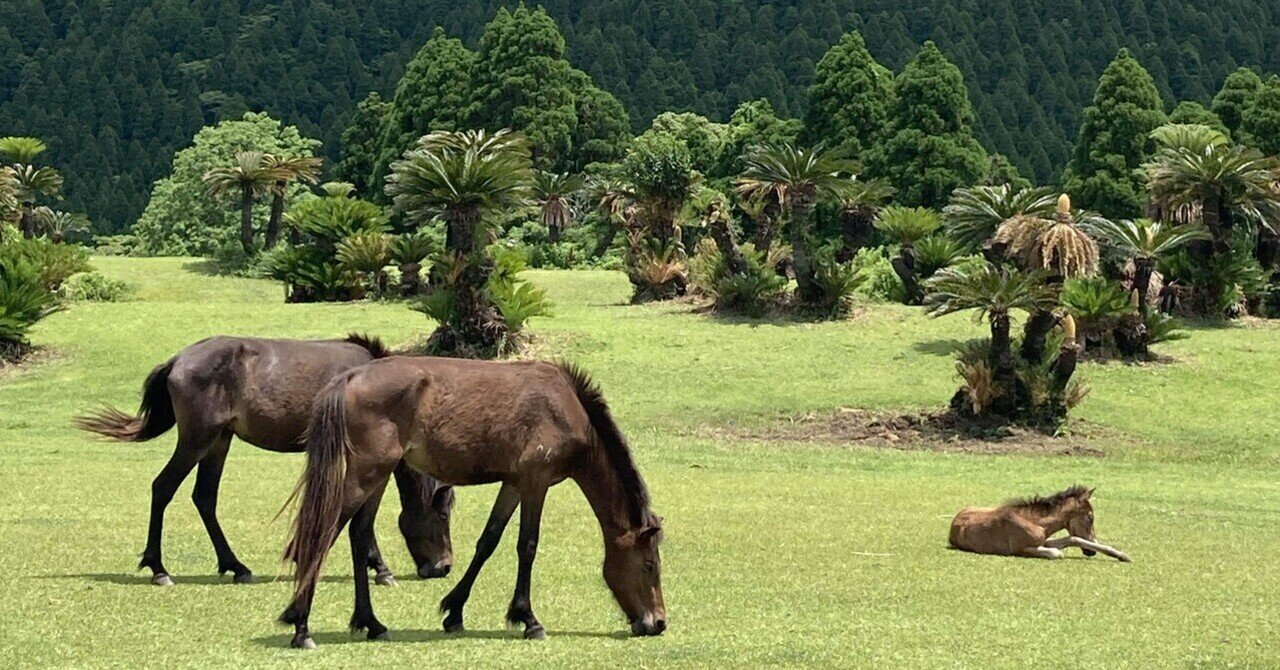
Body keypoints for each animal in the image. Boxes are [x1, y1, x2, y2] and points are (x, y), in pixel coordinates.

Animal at [73, 334, 456, 587]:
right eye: (443, 514)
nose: (444, 567)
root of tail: (177, 360)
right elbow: (361, 514)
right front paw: (381, 569)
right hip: (197, 440)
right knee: (163, 488)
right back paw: (159, 569)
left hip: (219, 441)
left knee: (204, 497)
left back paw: (236, 566)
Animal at [278, 357, 666, 649]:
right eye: (650, 564)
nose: (659, 622)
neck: (566, 408)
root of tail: (351, 376)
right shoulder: (535, 483)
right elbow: (527, 546)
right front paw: (529, 620)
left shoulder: (513, 483)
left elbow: (488, 541)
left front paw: (454, 611)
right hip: (366, 474)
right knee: (324, 534)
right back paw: (301, 627)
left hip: (377, 476)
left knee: (359, 536)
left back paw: (371, 623)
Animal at [949, 485, 1131, 561]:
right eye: (1090, 517)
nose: (1091, 553)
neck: (1036, 522)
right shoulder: (1020, 549)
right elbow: (1057, 553)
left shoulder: (1045, 540)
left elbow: (1073, 539)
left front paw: (1122, 555)